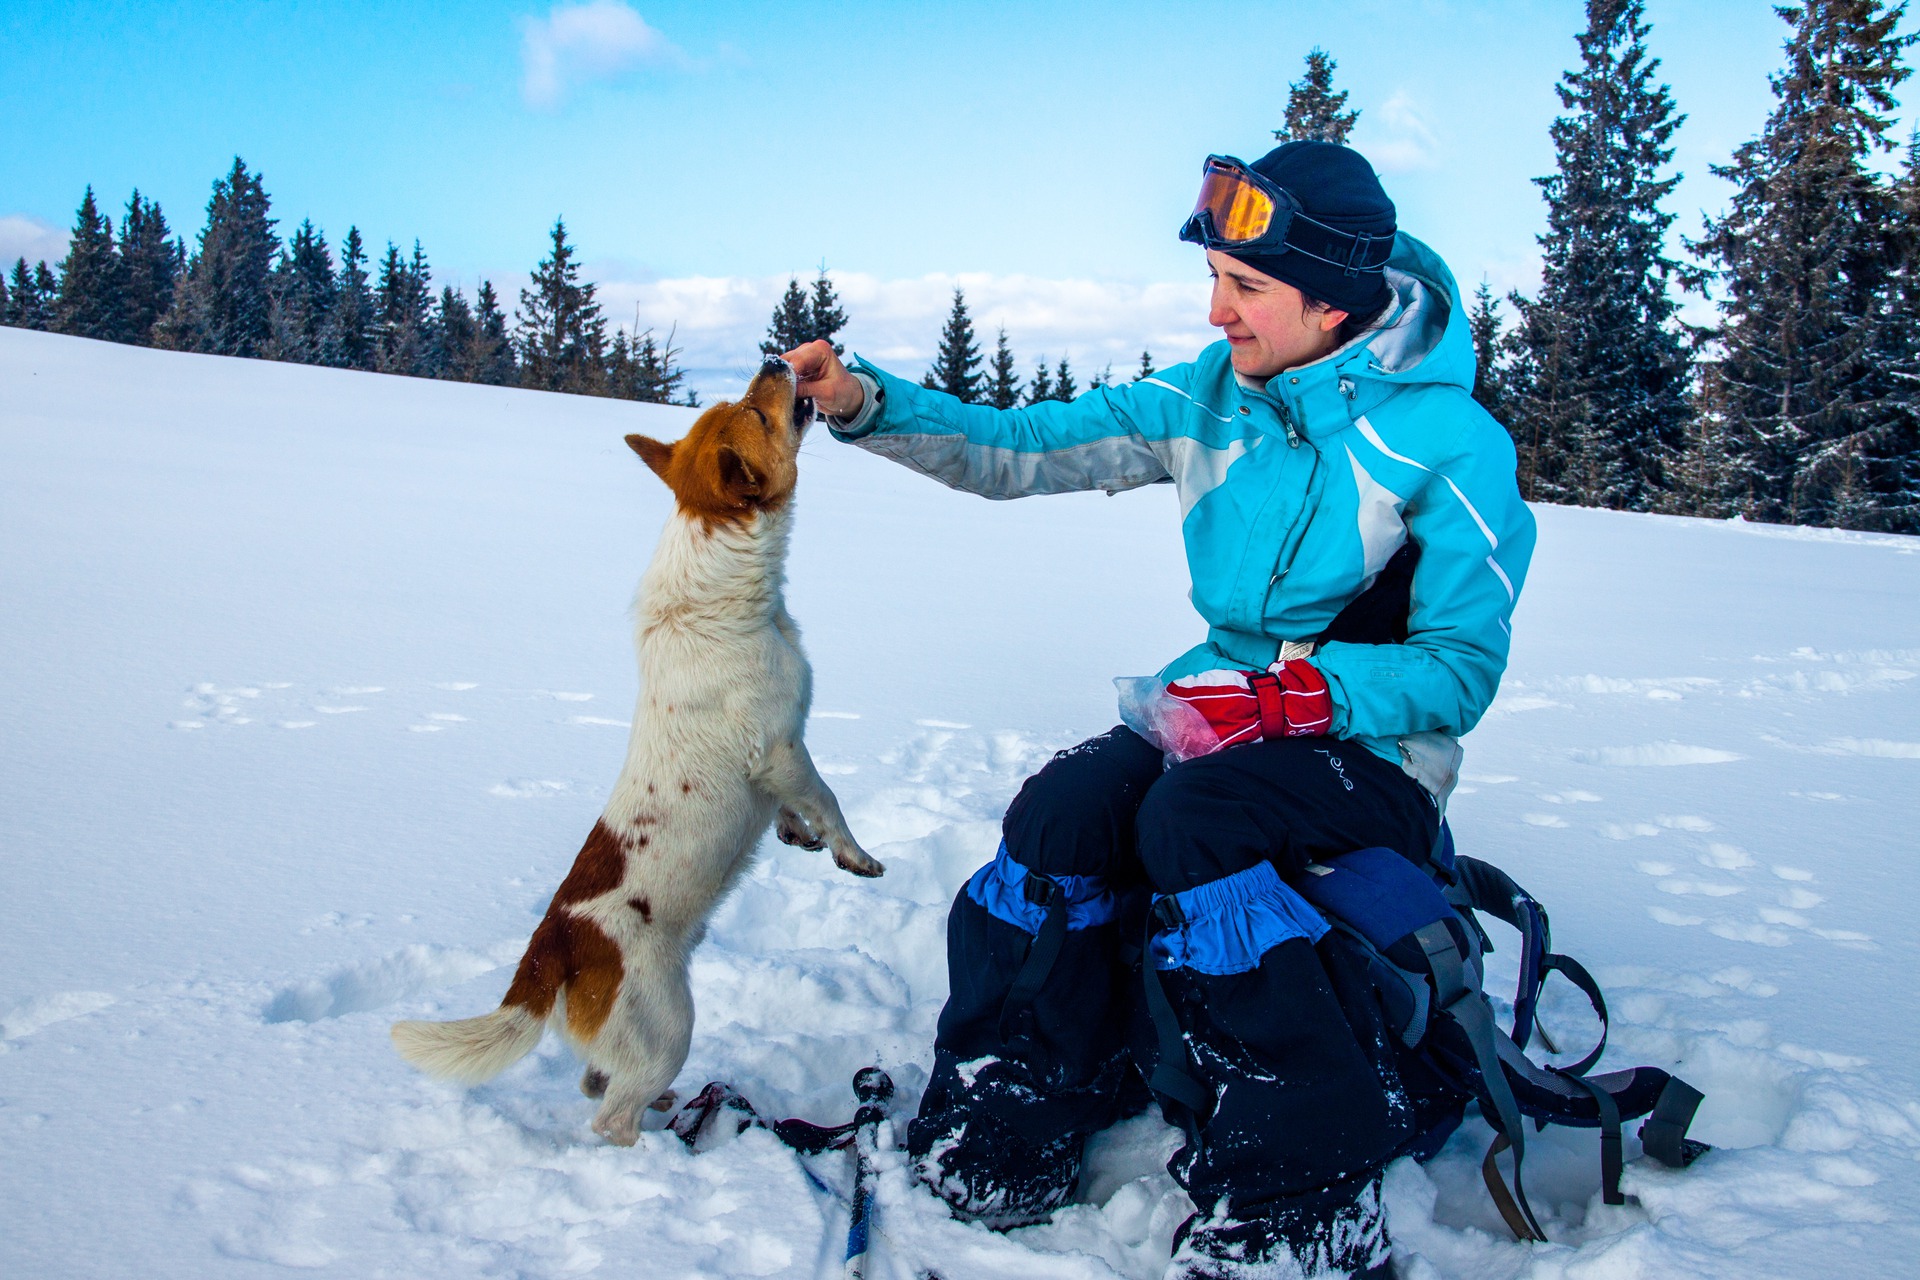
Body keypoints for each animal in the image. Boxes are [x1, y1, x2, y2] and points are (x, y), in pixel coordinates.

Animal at [391, 357, 881, 1145]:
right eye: (758, 411)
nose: (777, 361)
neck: (721, 589)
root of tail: (551, 948)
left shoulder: (780, 760)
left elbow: (793, 808)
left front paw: (794, 834)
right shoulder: (781, 747)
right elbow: (829, 801)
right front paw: (853, 855)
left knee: (597, 1080)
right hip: (667, 1023)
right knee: (608, 1116)